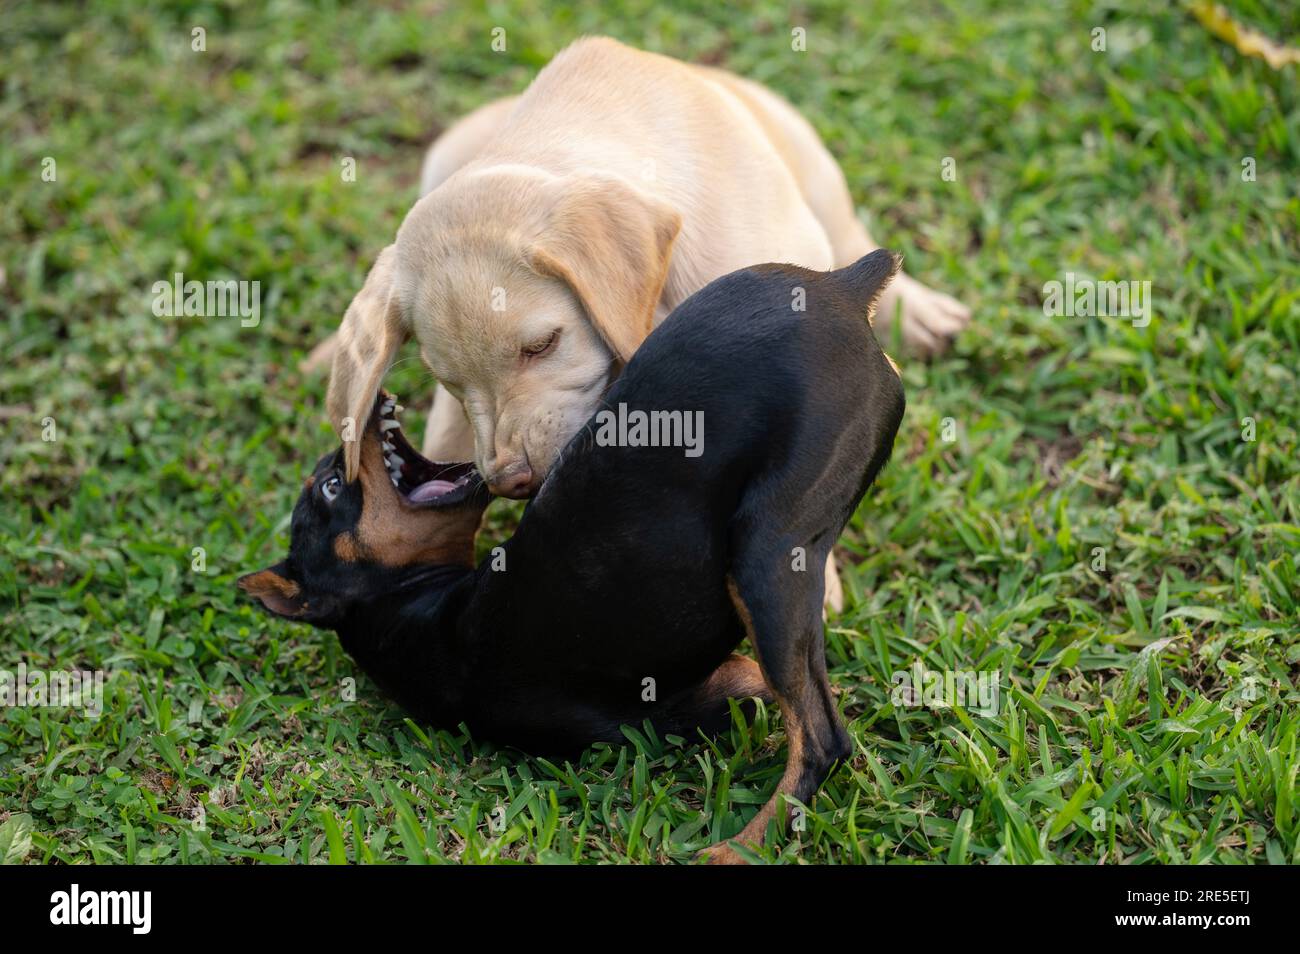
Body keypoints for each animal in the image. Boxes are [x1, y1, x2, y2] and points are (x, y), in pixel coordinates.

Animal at [241, 250, 904, 863]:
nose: (338, 448)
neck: (397, 601)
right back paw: (739, 848)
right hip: (765, 555)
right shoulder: (692, 703)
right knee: (824, 740)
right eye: (332, 487)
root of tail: (842, 288)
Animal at [319, 37, 961, 613]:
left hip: (812, 166)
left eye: (543, 345)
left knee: (851, 232)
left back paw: (919, 313)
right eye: (447, 381)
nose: (510, 481)